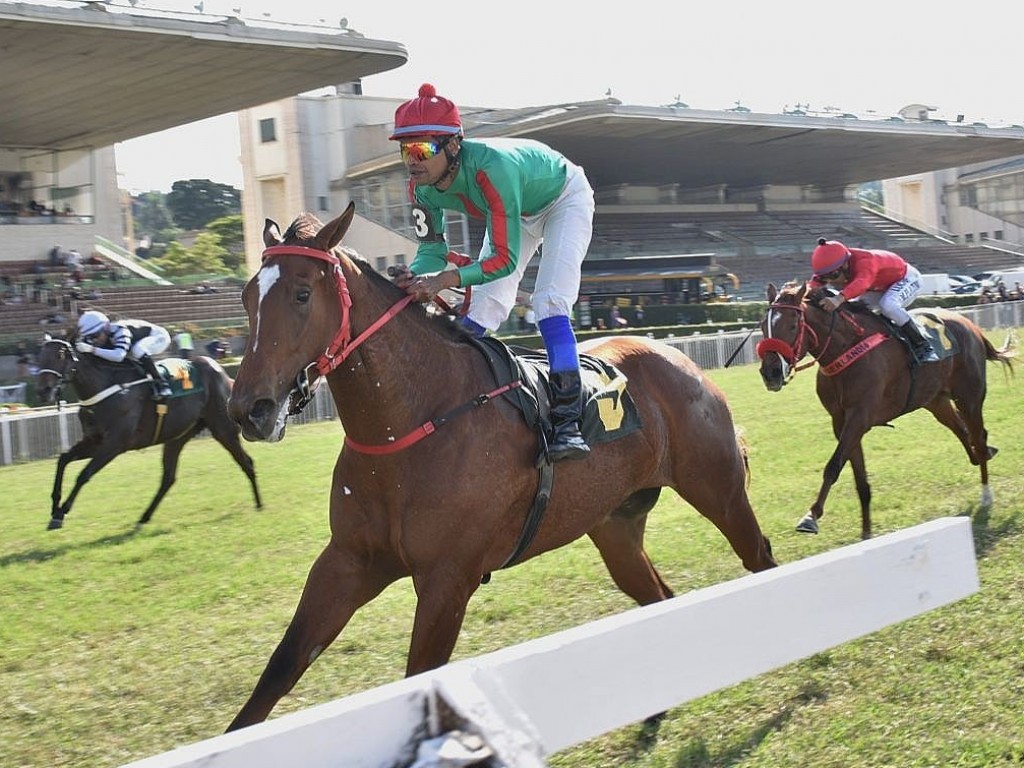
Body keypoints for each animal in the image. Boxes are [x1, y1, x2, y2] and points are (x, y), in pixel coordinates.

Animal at [35, 339, 262, 532]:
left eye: (60, 355)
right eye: (39, 357)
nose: (43, 390)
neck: (106, 387)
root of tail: (223, 374)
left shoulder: (114, 444)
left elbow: (84, 474)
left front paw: (61, 512)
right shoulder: (95, 441)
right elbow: (63, 459)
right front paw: (54, 508)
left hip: (222, 429)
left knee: (247, 462)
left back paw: (259, 504)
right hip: (177, 437)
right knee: (168, 478)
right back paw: (144, 517)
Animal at [224, 205, 774, 733]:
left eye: (301, 294)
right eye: (249, 297)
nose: (249, 409)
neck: (410, 424)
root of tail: (681, 359)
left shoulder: (448, 579)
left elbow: (420, 676)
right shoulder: (347, 561)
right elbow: (280, 667)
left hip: (719, 492)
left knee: (760, 557)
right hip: (614, 525)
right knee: (657, 596)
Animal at [757, 280, 1011, 536]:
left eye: (792, 325)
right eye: (762, 326)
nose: (771, 373)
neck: (845, 348)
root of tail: (971, 326)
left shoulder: (860, 416)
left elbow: (833, 466)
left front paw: (811, 517)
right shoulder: (841, 421)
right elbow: (859, 479)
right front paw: (866, 532)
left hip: (969, 396)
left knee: (978, 437)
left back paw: (986, 494)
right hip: (936, 401)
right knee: (963, 431)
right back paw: (986, 454)